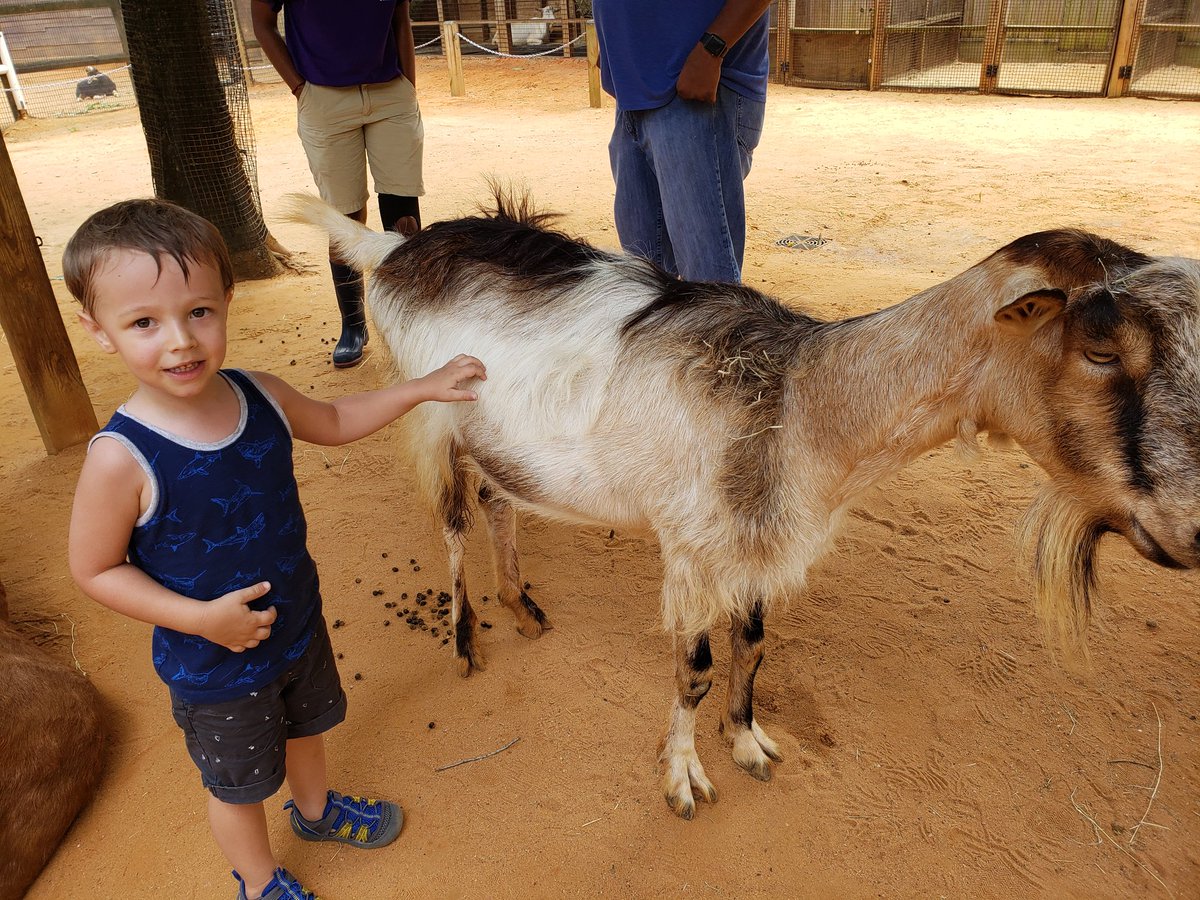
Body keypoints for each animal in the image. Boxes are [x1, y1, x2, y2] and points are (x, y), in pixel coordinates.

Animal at [287, 191, 1200, 819]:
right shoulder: (692, 544)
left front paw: (750, 743)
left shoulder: (753, 540)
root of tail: (395, 247)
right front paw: (684, 778)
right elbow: (692, 668)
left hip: (494, 437)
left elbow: (753, 644)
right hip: (429, 415)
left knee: (496, 500)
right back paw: (467, 638)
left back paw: (521, 601)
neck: (799, 401)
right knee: (449, 521)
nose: (1190, 528)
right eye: (1099, 348)